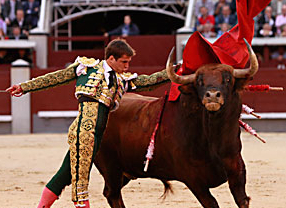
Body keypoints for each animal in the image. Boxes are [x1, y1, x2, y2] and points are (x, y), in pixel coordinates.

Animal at [93, 39, 256, 208]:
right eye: (199, 81)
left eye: (228, 79)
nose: (212, 96)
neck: (214, 140)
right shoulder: (194, 181)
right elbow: (212, 203)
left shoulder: (237, 170)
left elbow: (242, 200)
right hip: (111, 168)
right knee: (112, 193)